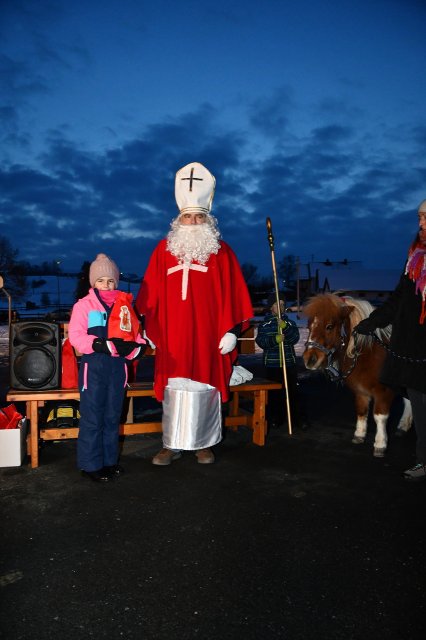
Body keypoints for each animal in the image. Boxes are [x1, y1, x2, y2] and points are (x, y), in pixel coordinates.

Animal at [302, 292, 412, 458]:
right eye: (309, 327)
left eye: (329, 326)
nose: (309, 360)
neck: (368, 353)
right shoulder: (360, 391)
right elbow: (361, 411)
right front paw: (359, 435)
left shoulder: (384, 392)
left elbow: (380, 416)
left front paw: (380, 444)